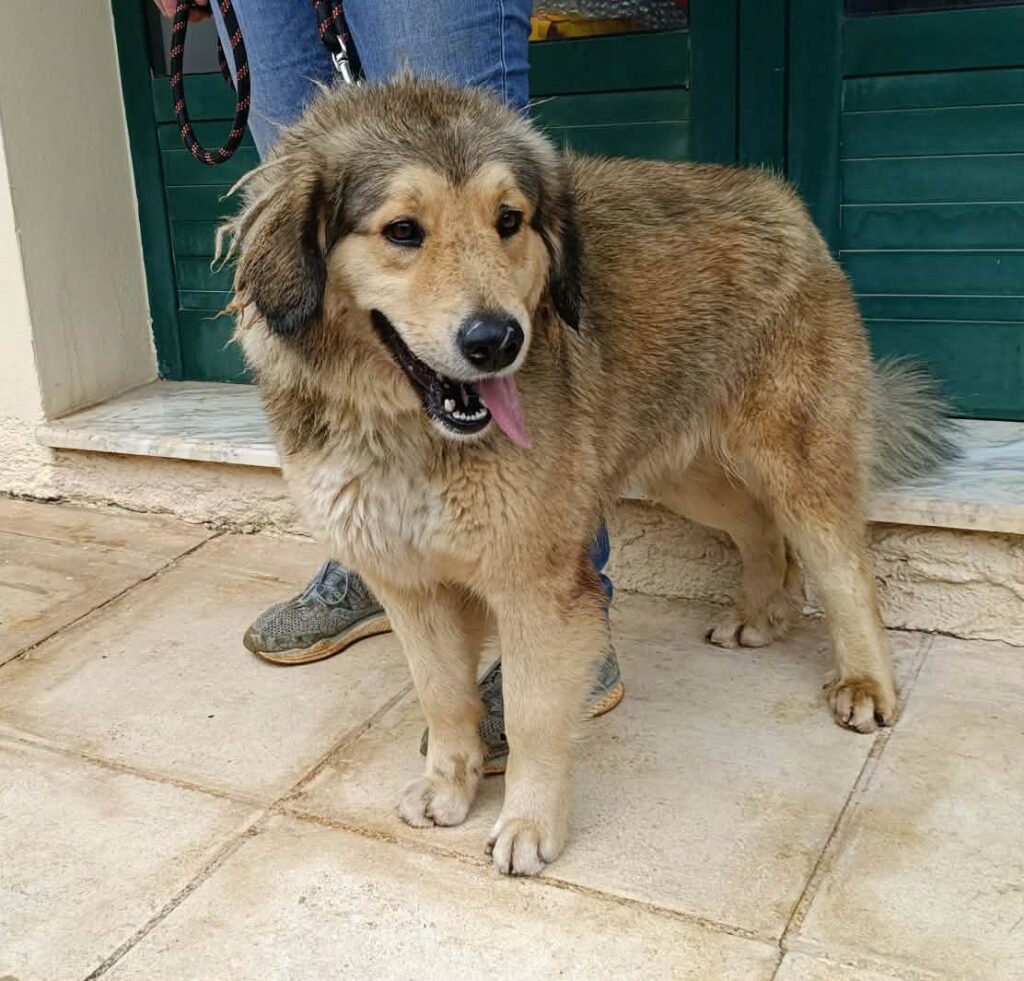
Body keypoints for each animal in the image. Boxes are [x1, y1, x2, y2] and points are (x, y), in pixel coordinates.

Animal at [223, 78, 952, 876]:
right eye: (403, 231)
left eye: (509, 221)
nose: (497, 341)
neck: (408, 432)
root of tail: (779, 196)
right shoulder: (407, 580)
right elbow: (442, 695)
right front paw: (449, 785)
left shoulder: (536, 582)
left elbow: (536, 714)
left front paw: (529, 823)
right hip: (682, 469)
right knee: (761, 531)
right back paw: (762, 613)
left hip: (794, 456)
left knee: (843, 565)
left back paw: (866, 682)